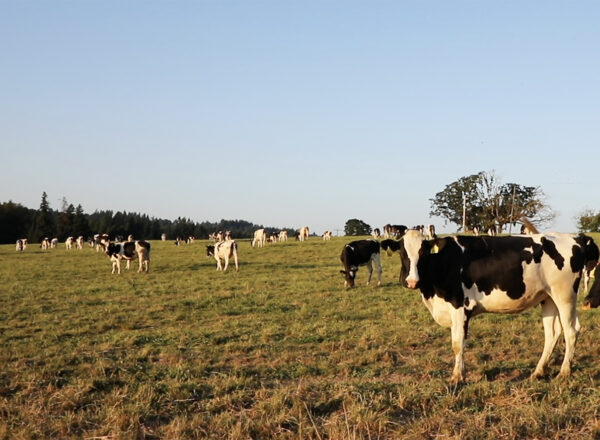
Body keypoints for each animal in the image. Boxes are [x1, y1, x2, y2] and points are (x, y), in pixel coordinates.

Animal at [398, 230, 600, 382]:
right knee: (552, 333)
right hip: (549, 297)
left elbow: (458, 344)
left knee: (571, 331)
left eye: (423, 253)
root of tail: (575, 237)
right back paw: (538, 372)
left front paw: (457, 377)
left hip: (565, 296)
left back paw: (564, 372)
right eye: (402, 253)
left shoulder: (460, 308)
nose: (412, 281)